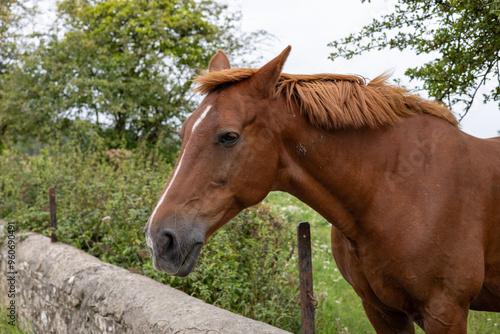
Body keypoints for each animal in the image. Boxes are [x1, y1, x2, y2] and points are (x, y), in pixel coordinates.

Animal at [146, 46, 500, 332]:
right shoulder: (381, 310)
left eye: (229, 136)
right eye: (183, 131)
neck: (397, 188)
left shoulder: (445, 312)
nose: (158, 239)